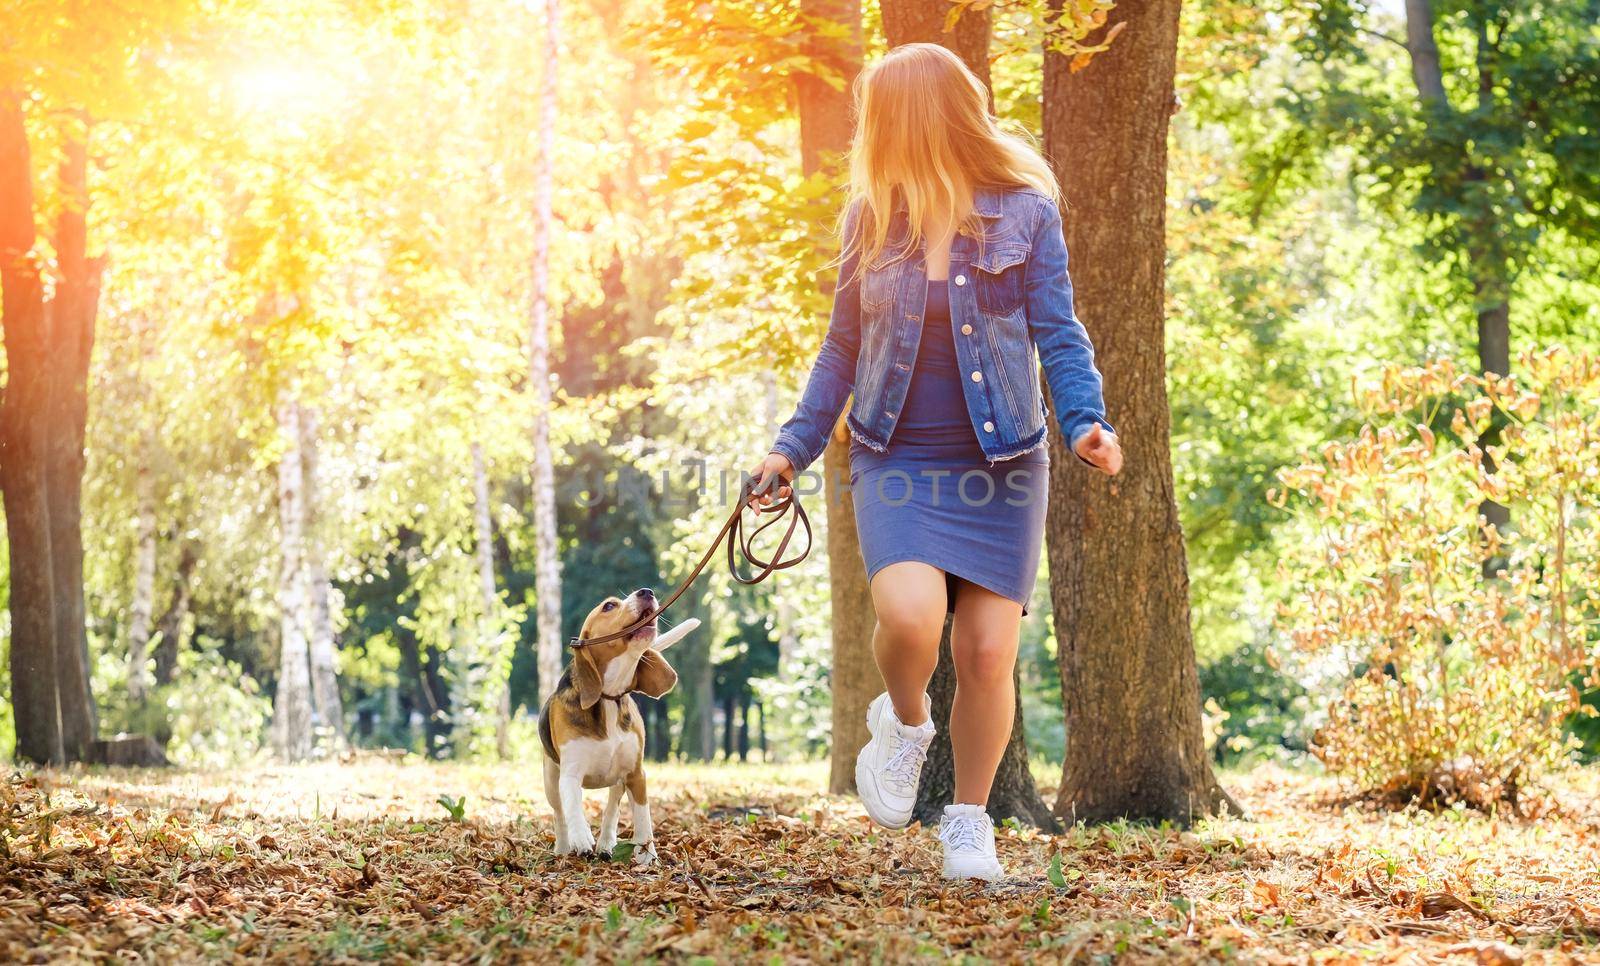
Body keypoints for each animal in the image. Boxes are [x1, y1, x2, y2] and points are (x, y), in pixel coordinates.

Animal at [537, 588, 694, 870]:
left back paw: (606, 843)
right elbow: (573, 806)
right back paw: (565, 846)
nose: (647, 591)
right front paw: (581, 837)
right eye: (609, 606)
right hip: (550, 781)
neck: (607, 697)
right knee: (559, 813)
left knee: (612, 807)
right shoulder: (570, 774)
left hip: (618, 779)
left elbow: (643, 818)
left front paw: (648, 856)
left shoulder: (636, 774)